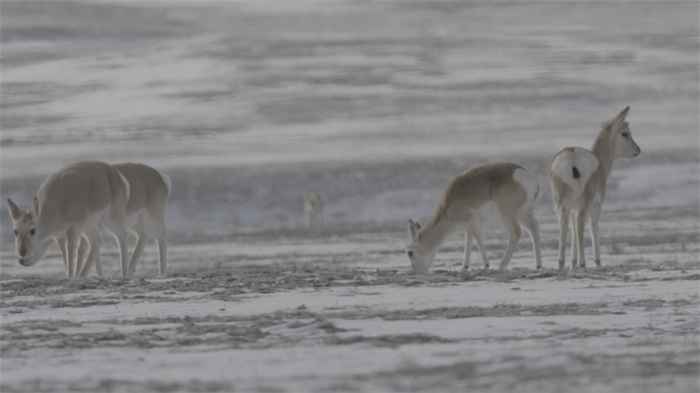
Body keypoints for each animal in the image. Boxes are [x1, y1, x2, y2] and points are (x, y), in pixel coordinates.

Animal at [404, 161, 540, 272]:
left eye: (410, 253)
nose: (415, 270)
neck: (448, 205)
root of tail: (531, 179)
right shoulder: (468, 227)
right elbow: (468, 241)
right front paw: (464, 267)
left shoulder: (476, 223)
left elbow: (478, 240)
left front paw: (486, 265)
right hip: (523, 213)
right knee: (534, 227)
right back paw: (538, 265)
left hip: (507, 215)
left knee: (515, 233)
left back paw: (501, 266)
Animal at [548, 105, 644, 268]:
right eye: (625, 133)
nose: (637, 150)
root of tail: (573, 159)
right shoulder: (597, 204)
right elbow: (594, 226)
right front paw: (597, 261)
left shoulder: (573, 207)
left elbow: (573, 229)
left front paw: (572, 263)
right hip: (586, 201)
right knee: (581, 221)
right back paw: (583, 262)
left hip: (560, 202)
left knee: (564, 224)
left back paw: (561, 263)